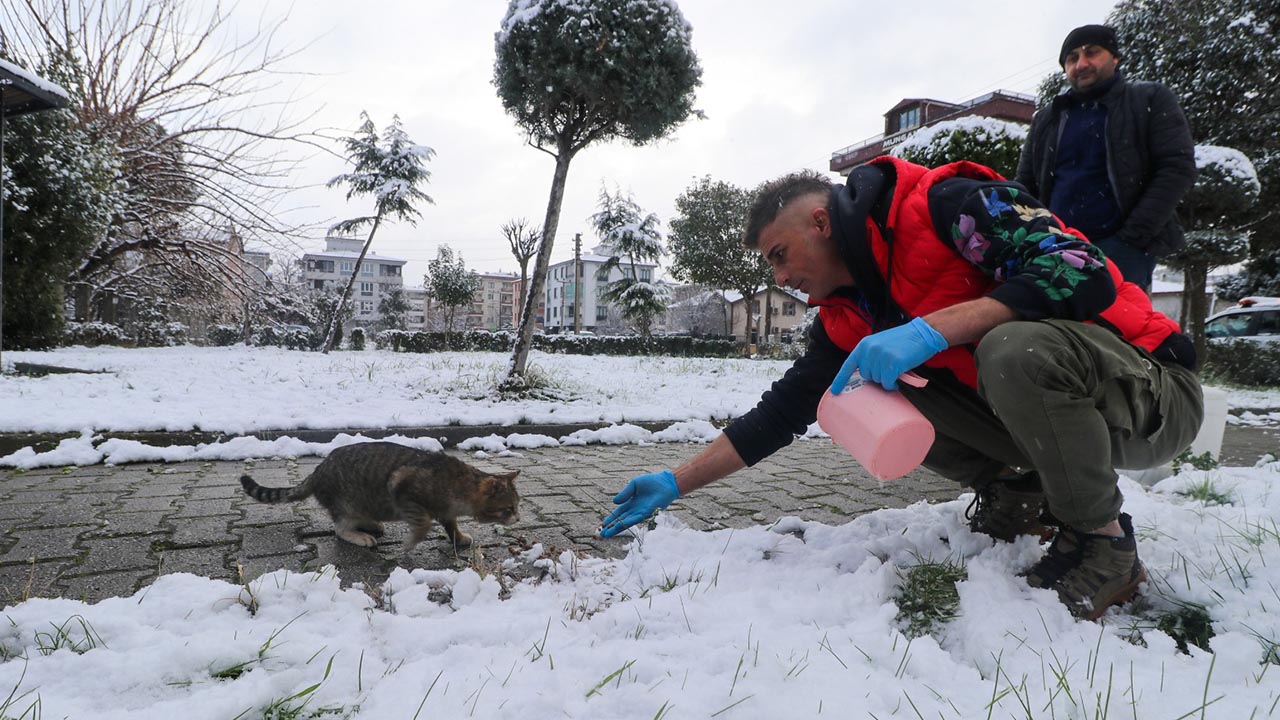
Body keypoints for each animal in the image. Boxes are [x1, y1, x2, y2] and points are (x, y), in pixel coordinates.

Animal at [240, 438, 519, 548]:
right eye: (509, 508)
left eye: (517, 506)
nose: (518, 518)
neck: (459, 486)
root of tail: (318, 470)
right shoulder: (403, 490)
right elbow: (423, 523)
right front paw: (412, 542)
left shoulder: (446, 511)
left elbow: (451, 525)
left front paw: (458, 537)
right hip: (347, 505)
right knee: (340, 529)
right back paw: (359, 534)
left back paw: (371, 523)